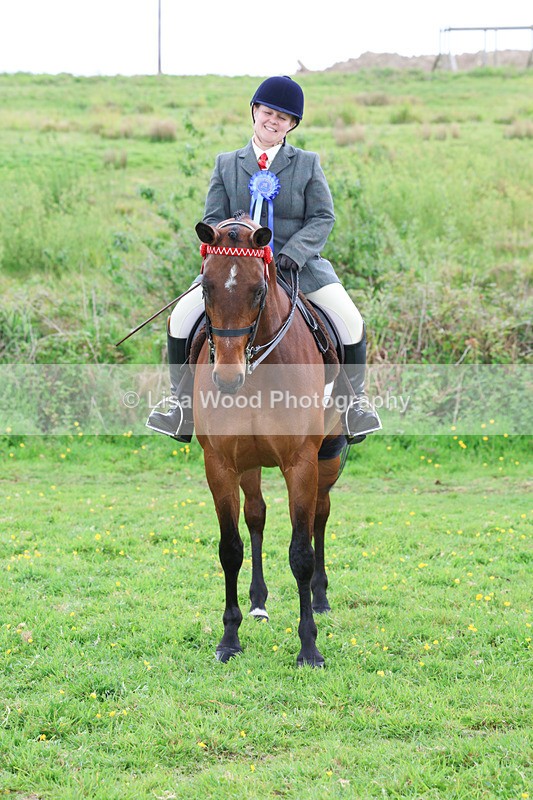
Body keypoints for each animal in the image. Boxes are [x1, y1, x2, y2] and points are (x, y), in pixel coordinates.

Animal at [192, 214, 345, 667]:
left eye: (258, 290)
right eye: (206, 287)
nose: (227, 379)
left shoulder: (301, 462)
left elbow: (301, 553)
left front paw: (309, 647)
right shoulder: (220, 463)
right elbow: (230, 548)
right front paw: (229, 639)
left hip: (327, 461)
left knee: (319, 516)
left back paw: (320, 599)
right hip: (250, 463)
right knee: (256, 515)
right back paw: (258, 602)